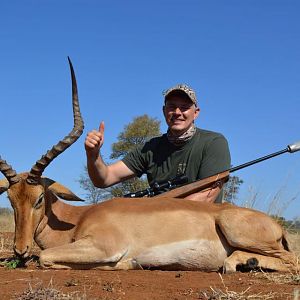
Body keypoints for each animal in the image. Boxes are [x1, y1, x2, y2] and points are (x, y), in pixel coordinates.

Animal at [0, 59, 298, 274]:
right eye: (11, 199)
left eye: (39, 198)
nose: (20, 249)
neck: (77, 219)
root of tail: (276, 225)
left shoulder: (104, 246)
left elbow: (44, 257)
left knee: (289, 260)